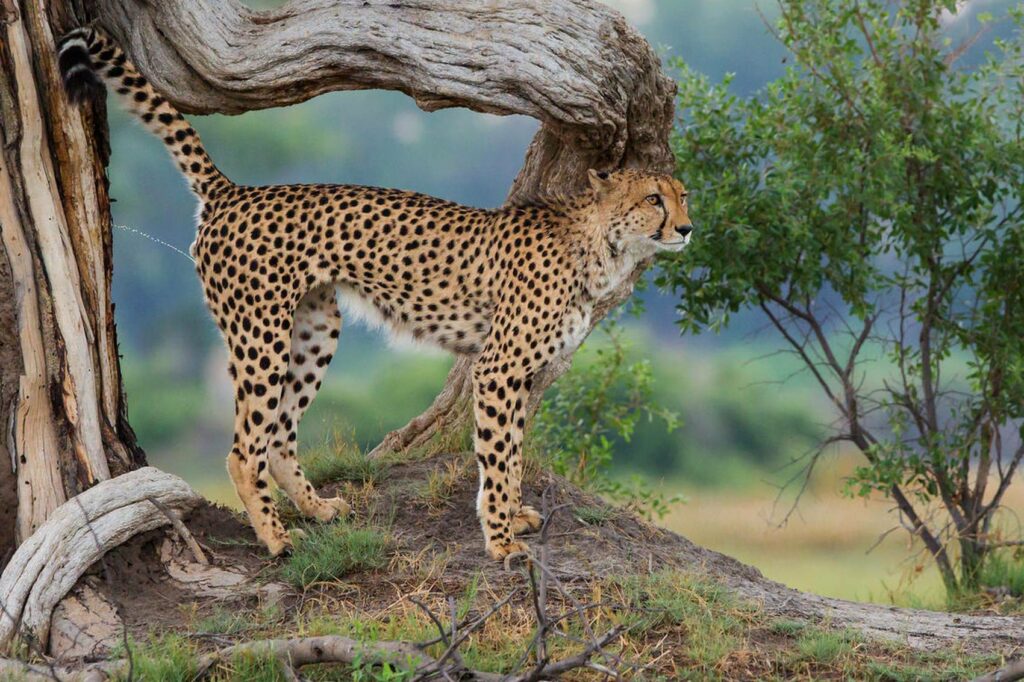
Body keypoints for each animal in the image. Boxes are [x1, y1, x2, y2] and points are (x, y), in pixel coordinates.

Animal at [58, 26, 696, 557]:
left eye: (682, 195)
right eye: (653, 199)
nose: (688, 228)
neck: (600, 244)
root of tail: (236, 192)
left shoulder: (519, 370)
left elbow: (512, 451)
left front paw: (514, 516)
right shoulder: (498, 366)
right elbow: (496, 455)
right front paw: (500, 541)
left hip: (314, 329)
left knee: (281, 436)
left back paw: (317, 510)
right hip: (260, 335)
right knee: (244, 449)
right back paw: (276, 538)